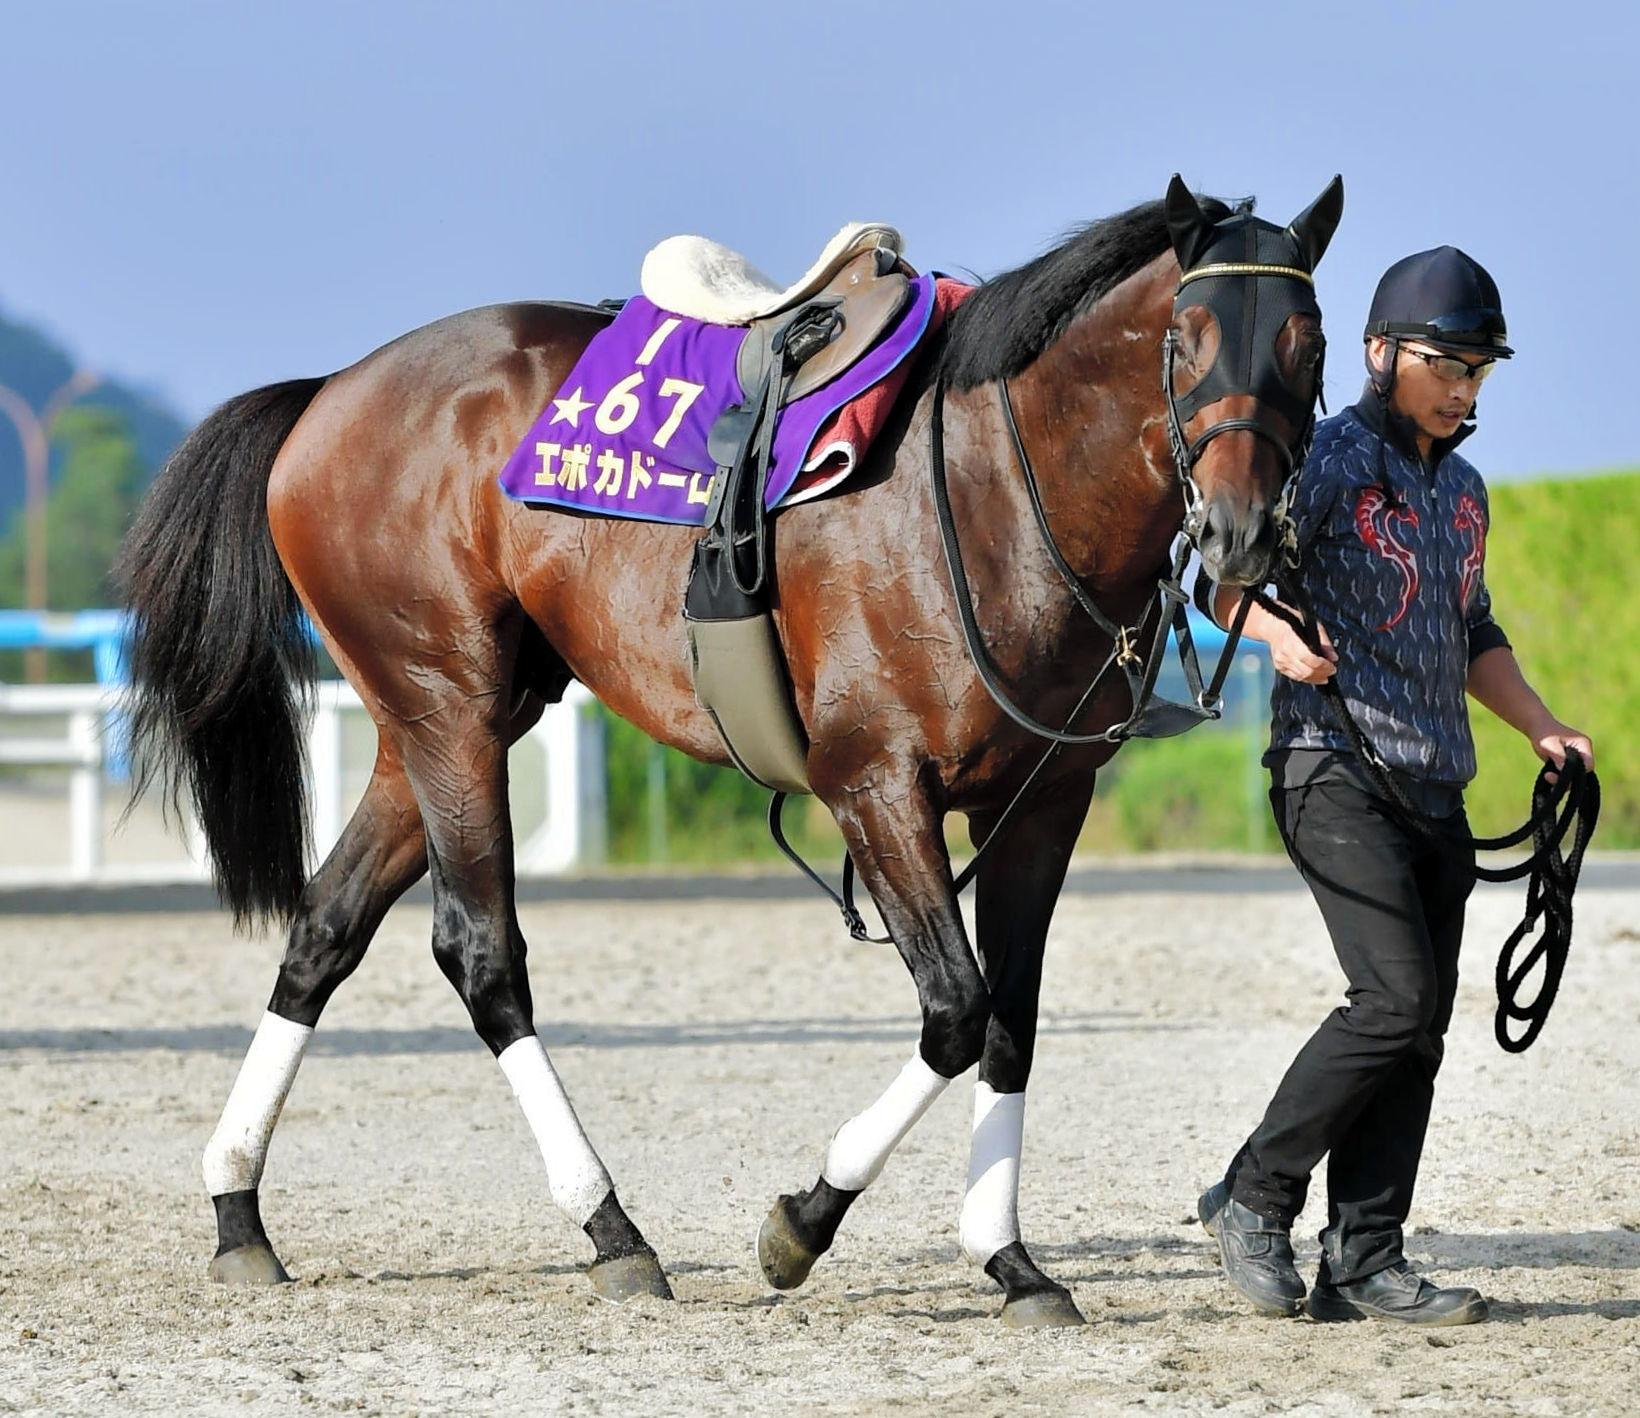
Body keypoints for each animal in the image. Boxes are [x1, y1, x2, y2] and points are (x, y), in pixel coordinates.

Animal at [121, 179, 1338, 1324]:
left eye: (1306, 340)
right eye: (1187, 334)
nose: (1239, 532)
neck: (993, 485)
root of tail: (331, 389)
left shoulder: (1038, 804)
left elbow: (1011, 1021)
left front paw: (1010, 1259)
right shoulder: (874, 786)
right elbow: (955, 1013)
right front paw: (804, 1221)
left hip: (439, 725)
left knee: (325, 928)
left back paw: (238, 1207)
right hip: (448, 714)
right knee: (481, 955)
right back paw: (610, 1229)